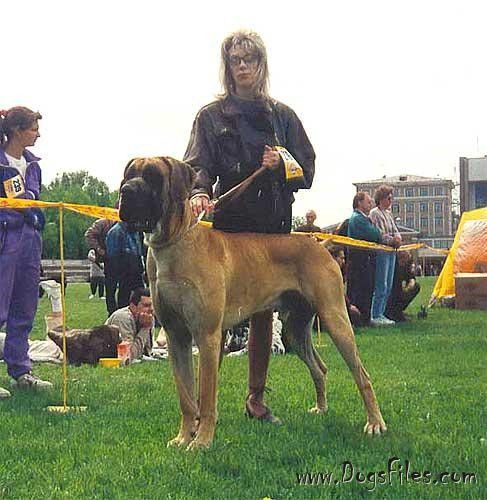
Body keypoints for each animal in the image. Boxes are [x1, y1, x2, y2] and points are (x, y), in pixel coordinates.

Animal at [119, 157, 387, 450]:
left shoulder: (207, 335)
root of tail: (320, 245)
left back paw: (375, 423)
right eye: (128, 175)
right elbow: (187, 397)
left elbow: (207, 398)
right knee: (320, 368)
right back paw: (321, 408)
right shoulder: (176, 336)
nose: (125, 192)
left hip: (335, 319)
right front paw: (183, 437)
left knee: (362, 376)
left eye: (152, 176)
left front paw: (201, 442)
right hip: (296, 329)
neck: (173, 242)